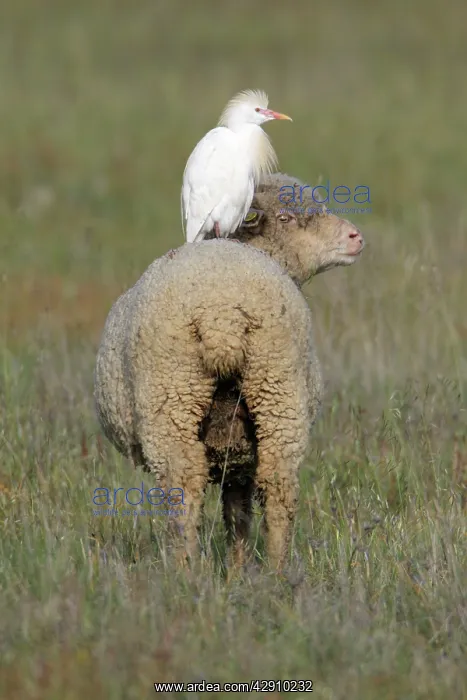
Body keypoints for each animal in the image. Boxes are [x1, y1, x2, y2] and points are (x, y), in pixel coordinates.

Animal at [94, 172, 365, 570]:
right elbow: (238, 513)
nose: (355, 237)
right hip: (275, 388)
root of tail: (221, 313)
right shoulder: (239, 453)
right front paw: (238, 570)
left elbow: (234, 512)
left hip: (180, 397)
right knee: (276, 485)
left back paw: (190, 571)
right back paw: (273, 571)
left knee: (186, 487)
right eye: (285, 218)